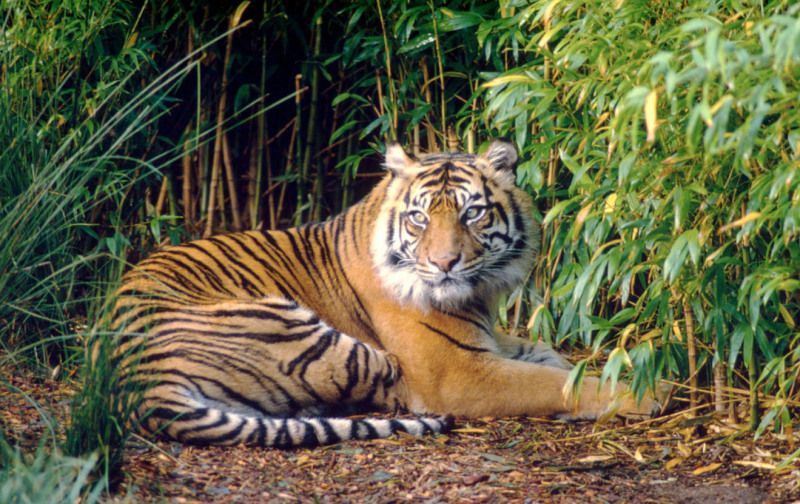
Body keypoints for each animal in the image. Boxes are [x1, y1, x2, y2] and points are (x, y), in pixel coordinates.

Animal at [114, 140, 664, 446]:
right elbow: (553, 382)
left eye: (472, 213)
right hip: (311, 334)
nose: (444, 264)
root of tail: (139, 382)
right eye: (419, 217)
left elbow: (547, 355)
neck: (476, 294)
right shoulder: (455, 371)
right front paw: (650, 391)